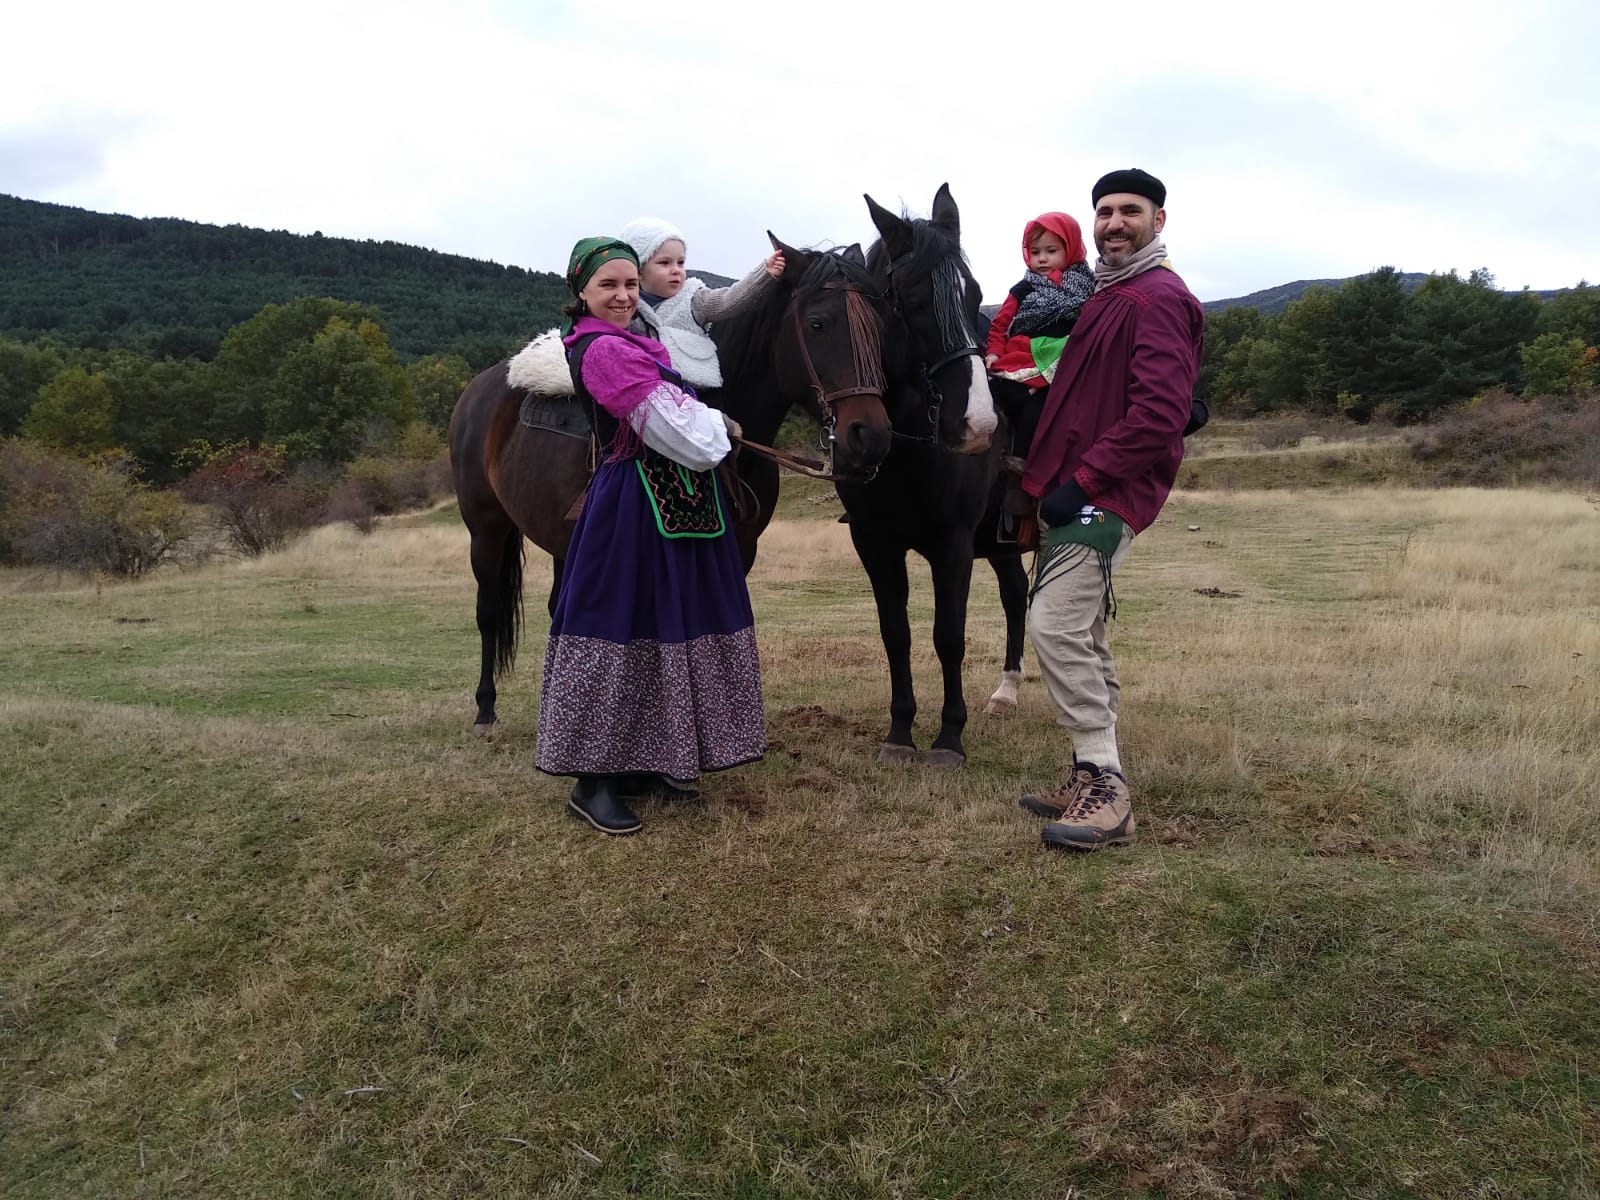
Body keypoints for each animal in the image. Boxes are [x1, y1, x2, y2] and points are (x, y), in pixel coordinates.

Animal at [448, 241, 902, 732]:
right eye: (818, 323)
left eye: (881, 325)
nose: (871, 437)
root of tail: (480, 389)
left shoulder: (741, 550)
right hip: (486, 529)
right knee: (489, 611)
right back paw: (486, 708)